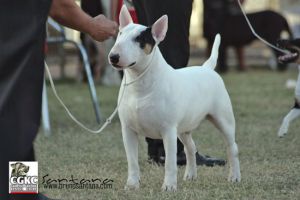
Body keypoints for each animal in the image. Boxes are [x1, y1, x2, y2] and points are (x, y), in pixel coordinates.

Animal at [108, 5, 241, 191]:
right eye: (120, 34)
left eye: (139, 39)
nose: (113, 57)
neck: (140, 85)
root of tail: (207, 68)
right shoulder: (128, 130)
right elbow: (132, 161)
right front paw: (132, 185)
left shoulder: (168, 130)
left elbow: (170, 162)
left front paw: (169, 186)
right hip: (184, 127)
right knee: (190, 147)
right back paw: (190, 175)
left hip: (223, 119)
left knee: (232, 147)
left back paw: (234, 176)